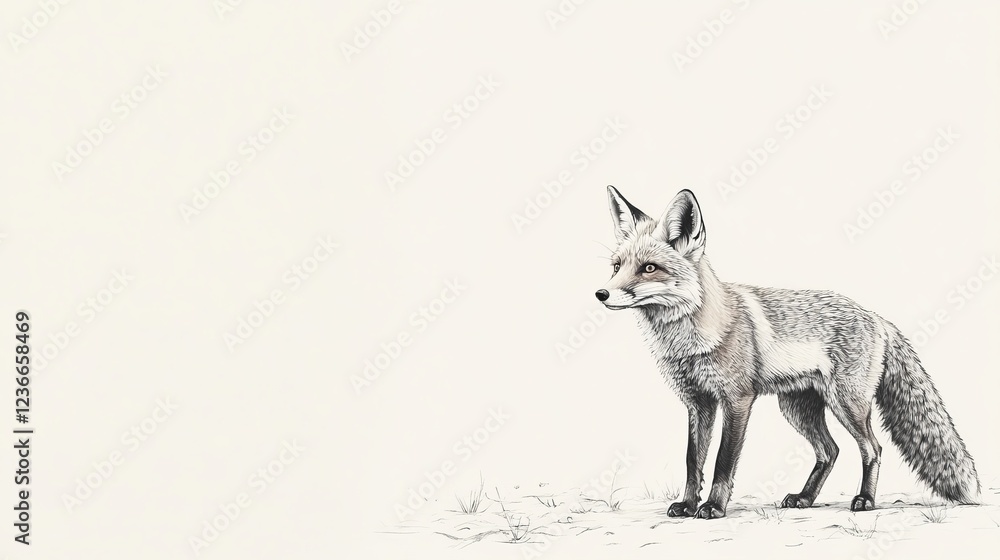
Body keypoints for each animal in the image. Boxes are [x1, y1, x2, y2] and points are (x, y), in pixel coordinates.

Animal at [595, 186, 979, 519]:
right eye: (617, 267)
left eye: (648, 268)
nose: (601, 294)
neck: (690, 340)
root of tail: (875, 316)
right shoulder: (697, 403)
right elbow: (693, 461)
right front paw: (688, 505)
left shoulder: (737, 400)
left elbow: (722, 461)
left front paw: (714, 507)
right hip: (797, 408)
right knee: (831, 451)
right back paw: (805, 498)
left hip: (847, 404)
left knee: (872, 448)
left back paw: (865, 500)